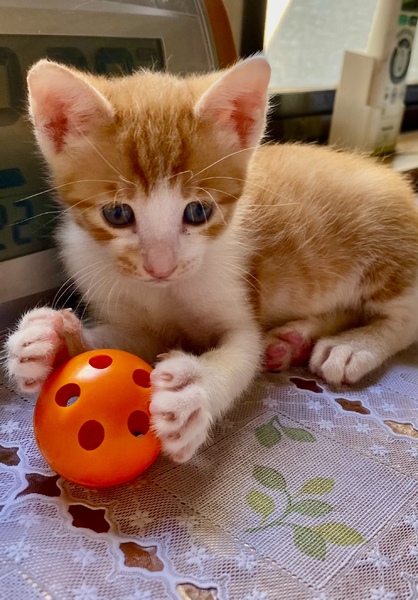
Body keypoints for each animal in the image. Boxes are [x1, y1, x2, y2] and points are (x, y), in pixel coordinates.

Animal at [5, 56, 418, 463]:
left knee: (405, 315)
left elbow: (243, 349)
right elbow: (120, 341)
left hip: (385, 243)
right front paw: (50, 340)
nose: (161, 268)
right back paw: (293, 339)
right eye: (118, 214)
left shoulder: (237, 298)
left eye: (198, 212)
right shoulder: (134, 319)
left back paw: (353, 346)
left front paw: (195, 390)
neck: (163, 292)